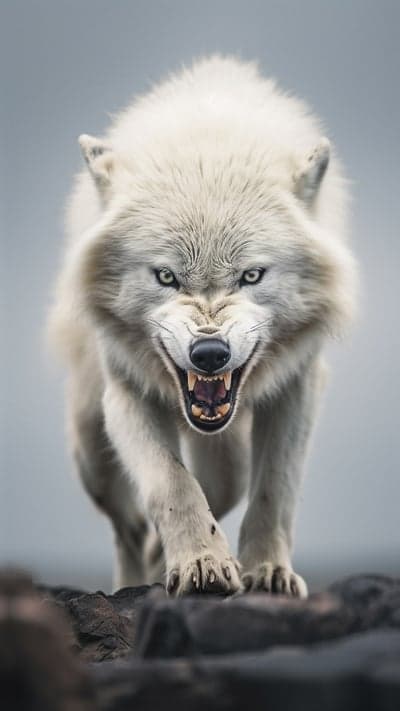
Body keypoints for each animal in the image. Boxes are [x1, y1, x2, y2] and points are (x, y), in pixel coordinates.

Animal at [49, 56, 356, 597]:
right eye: (166, 276)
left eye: (251, 275)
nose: (209, 354)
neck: (208, 144)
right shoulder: (126, 394)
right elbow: (173, 482)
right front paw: (202, 564)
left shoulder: (299, 386)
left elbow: (271, 486)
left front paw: (267, 572)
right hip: (91, 448)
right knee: (127, 528)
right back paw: (136, 574)